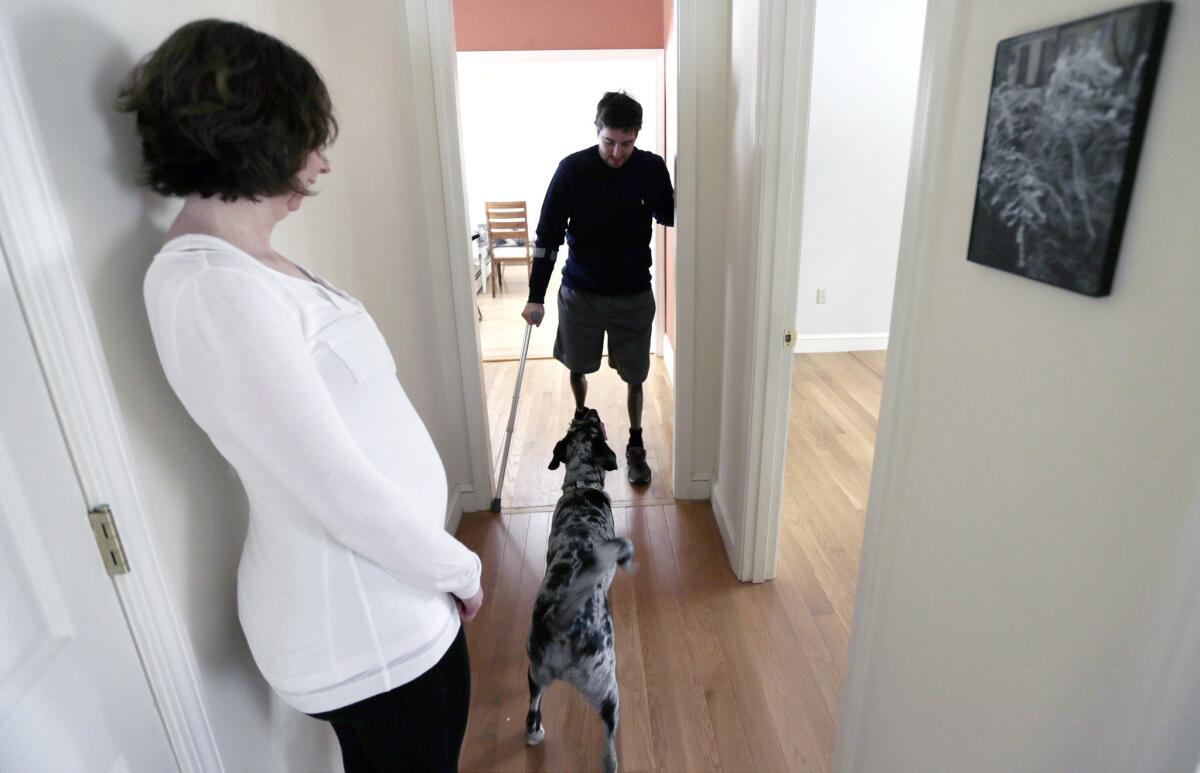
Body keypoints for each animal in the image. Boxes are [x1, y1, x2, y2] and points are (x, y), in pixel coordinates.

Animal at [528, 408, 638, 768]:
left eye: (575, 424)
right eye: (592, 425)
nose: (585, 409)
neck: (581, 484)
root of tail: (563, 622)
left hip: (534, 672)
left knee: (531, 712)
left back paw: (535, 734)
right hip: (608, 690)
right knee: (608, 744)